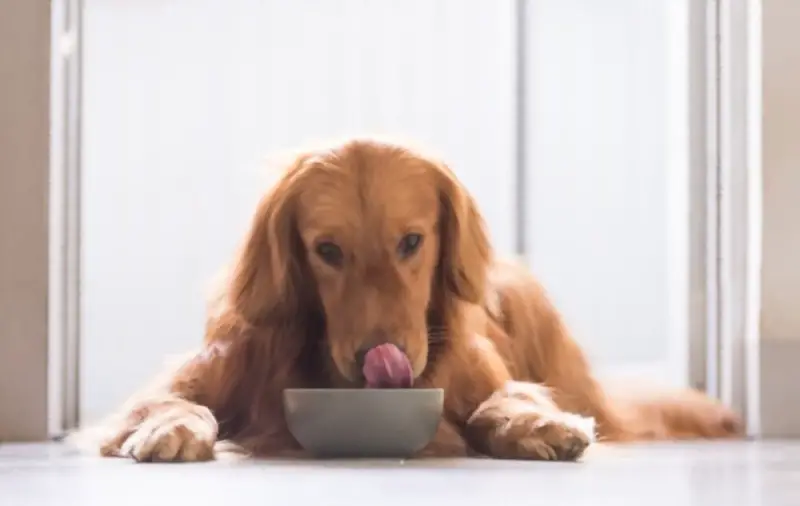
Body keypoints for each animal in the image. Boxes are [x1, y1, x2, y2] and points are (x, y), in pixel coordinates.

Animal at [78, 138, 740, 462]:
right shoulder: (204, 370)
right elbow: (168, 401)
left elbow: (503, 400)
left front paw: (535, 422)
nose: (381, 358)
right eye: (327, 250)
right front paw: (171, 426)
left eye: (412, 242)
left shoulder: (480, 377)